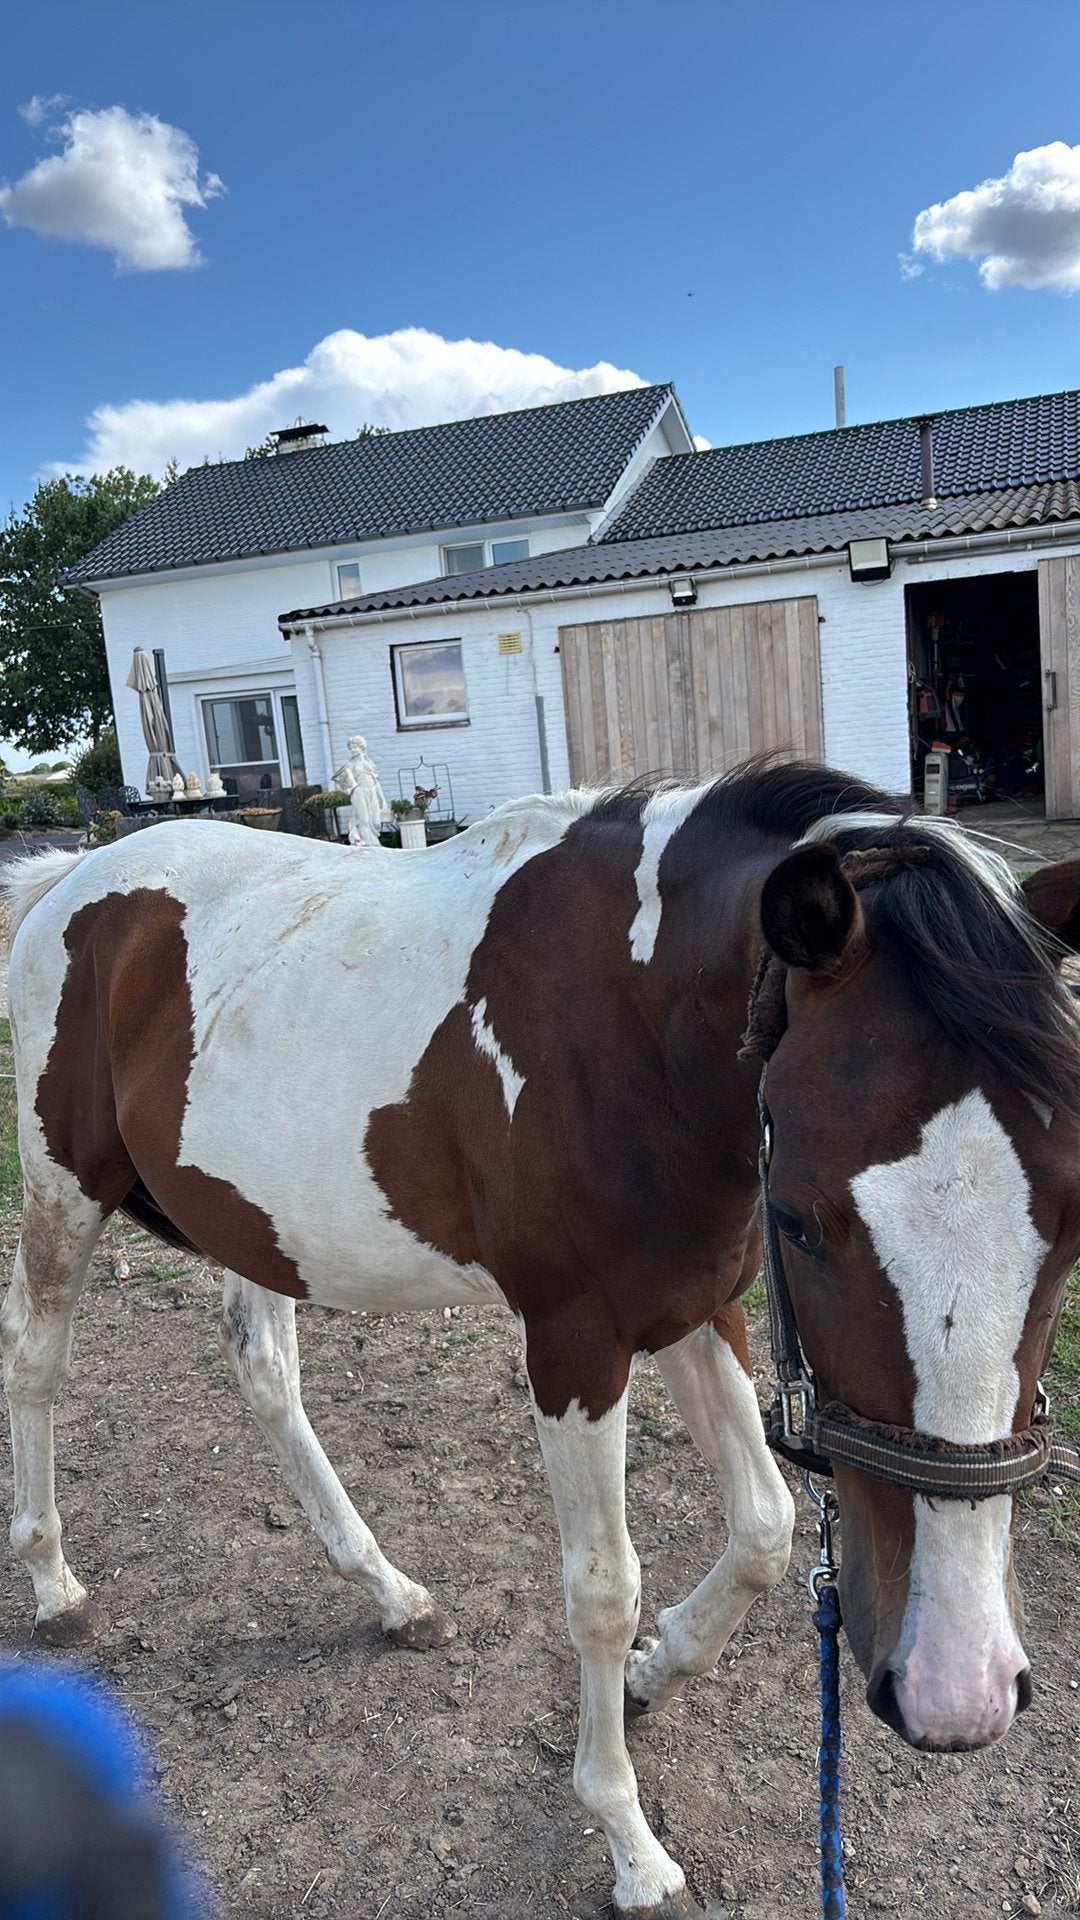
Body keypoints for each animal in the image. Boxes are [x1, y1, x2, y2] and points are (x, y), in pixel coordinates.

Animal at [4, 760, 1080, 1920]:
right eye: (801, 1220)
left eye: (1071, 1229)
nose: (957, 1690)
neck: (630, 1022)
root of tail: (75, 882)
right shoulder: (576, 1344)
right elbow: (604, 1590)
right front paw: (629, 1841)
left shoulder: (697, 1308)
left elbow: (766, 1525)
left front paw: (659, 1670)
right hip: (66, 1190)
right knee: (37, 1361)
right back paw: (55, 1585)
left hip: (254, 1221)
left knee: (264, 1372)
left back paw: (390, 1593)